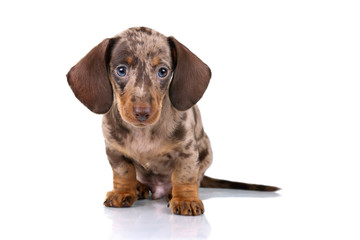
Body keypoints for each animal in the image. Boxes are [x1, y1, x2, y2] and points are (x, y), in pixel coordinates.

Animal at [67, 26, 280, 216]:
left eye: (163, 71)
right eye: (121, 70)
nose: (142, 112)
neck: (143, 132)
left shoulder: (187, 150)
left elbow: (184, 176)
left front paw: (185, 199)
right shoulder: (114, 151)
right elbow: (124, 172)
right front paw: (123, 192)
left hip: (207, 151)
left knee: (196, 178)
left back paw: (172, 192)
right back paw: (139, 186)